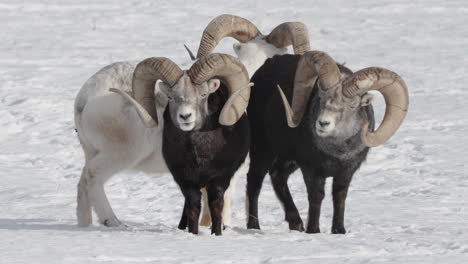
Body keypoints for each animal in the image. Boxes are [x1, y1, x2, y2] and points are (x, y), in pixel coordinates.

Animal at [247, 51, 408, 233]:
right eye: (321, 98)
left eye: (353, 105)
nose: (323, 123)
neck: (337, 153)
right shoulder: (312, 171)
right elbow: (316, 197)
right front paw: (313, 230)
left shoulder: (346, 173)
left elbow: (339, 197)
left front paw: (339, 230)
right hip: (263, 149)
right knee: (255, 181)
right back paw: (254, 226)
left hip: (288, 160)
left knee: (277, 176)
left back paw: (296, 224)